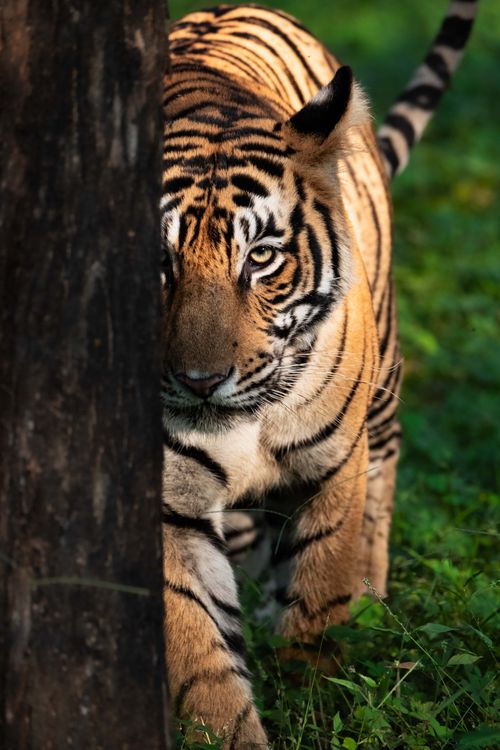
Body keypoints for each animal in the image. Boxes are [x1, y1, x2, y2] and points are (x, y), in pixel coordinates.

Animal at [160, 2, 478, 746]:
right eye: (160, 261)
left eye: (262, 257)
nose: (199, 380)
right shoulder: (172, 504)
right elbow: (202, 655)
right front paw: (227, 727)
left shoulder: (332, 463)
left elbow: (318, 591)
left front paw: (318, 700)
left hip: (383, 381)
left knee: (384, 476)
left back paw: (374, 603)